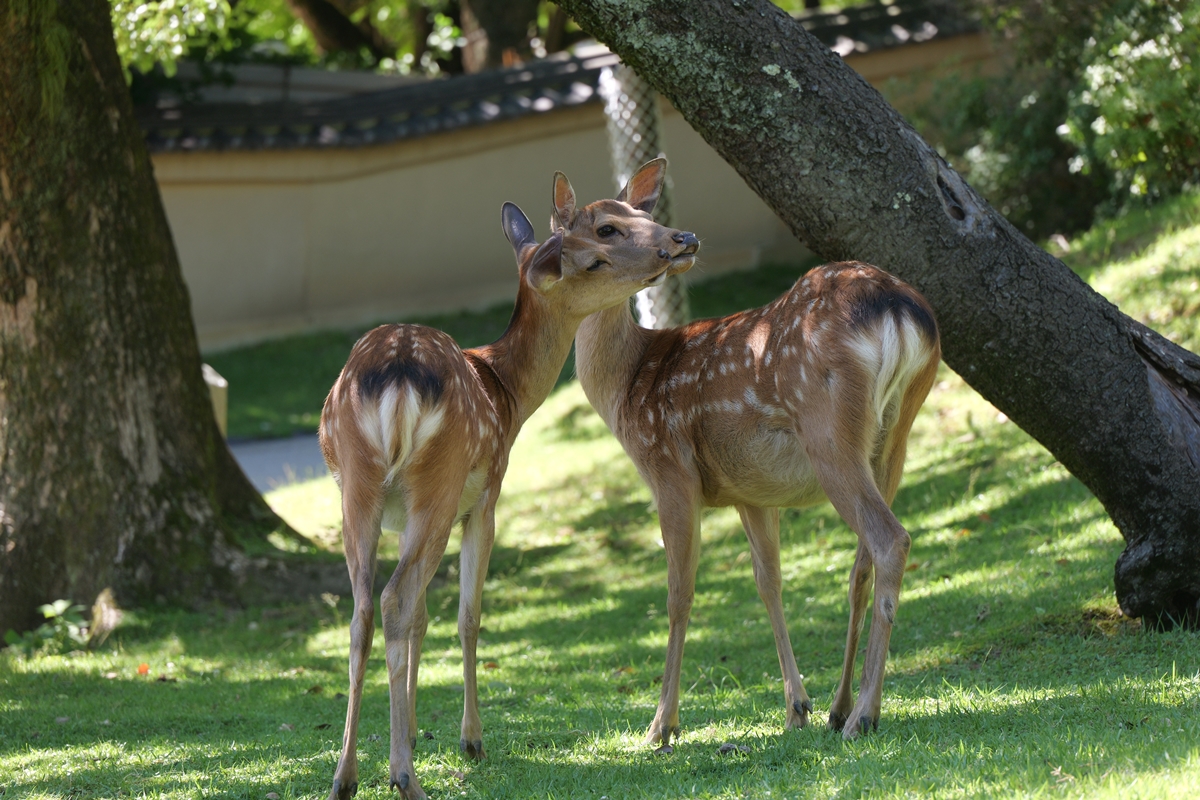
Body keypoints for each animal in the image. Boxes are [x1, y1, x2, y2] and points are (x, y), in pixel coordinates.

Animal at [319, 183, 700, 800]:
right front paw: (470, 740)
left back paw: (346, 776)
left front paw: (418, 727)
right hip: (440, 480)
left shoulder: (408, 514)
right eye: (601, 241)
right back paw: (405, 776)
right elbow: (468, 613)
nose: (678, 243)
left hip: (359, 487)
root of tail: (397, 375)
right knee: (394, 599)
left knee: (363, 612)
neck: (507, 392)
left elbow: (423, 618)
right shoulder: (487, 497)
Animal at [566, 158, 940, 753]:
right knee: (863, 562)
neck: (625, 387)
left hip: (829, 433)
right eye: (608, 226)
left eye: (631, 219)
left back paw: (863, 715)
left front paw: (661, 726)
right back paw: (841, 707)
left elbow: (678, 593)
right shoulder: (751, 492)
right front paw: (796, 707)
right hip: (894, 436)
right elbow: (769, 582)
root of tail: (899, 312)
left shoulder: (668, 471)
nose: (683, 239)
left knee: (890, 540)